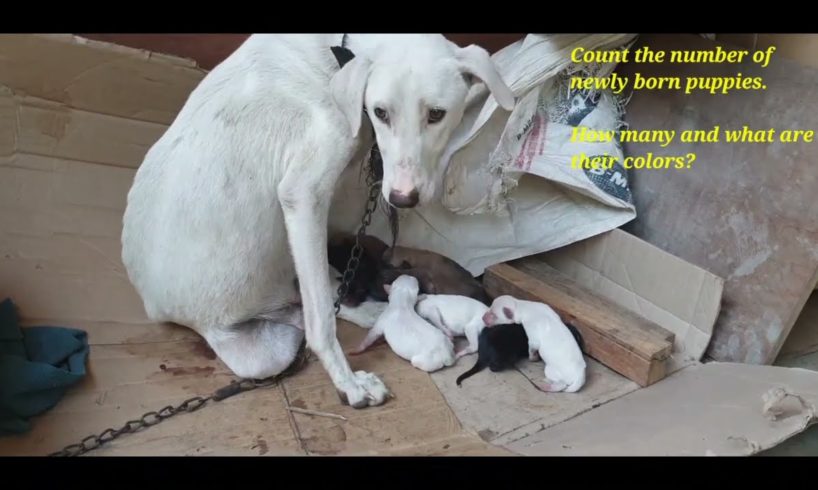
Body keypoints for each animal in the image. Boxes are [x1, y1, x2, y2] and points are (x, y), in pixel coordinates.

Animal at [120, 34, 510, 408]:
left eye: (437, 114)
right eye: (380, 112)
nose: (402, 199)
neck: (336, 54)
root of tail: (159, 310)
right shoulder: (304, 194)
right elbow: (322, 316)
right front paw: (348, 383)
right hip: (260, 351)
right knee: (307, 316)